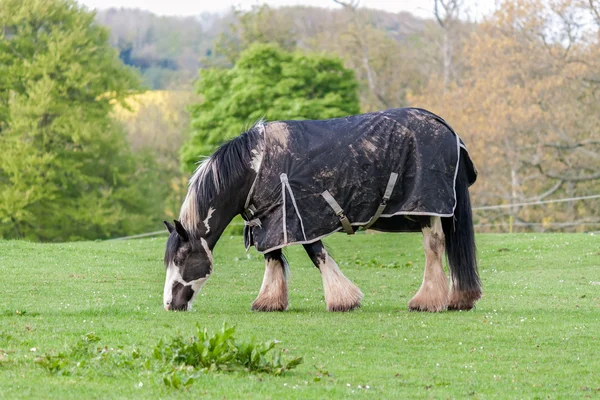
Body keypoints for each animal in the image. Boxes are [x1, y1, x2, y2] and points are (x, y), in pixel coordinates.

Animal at [163, 108, 482, 312]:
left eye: (180, 259)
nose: (169, 305)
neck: (255, 169)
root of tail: (447, 129)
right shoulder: (270, 222)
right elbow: (273, 258)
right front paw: (269, 302)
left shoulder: (300, 217)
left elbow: (317, 255)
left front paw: (343, 300)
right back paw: (459, 299)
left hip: (429, 209)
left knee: (434, 247)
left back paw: (426, 301)